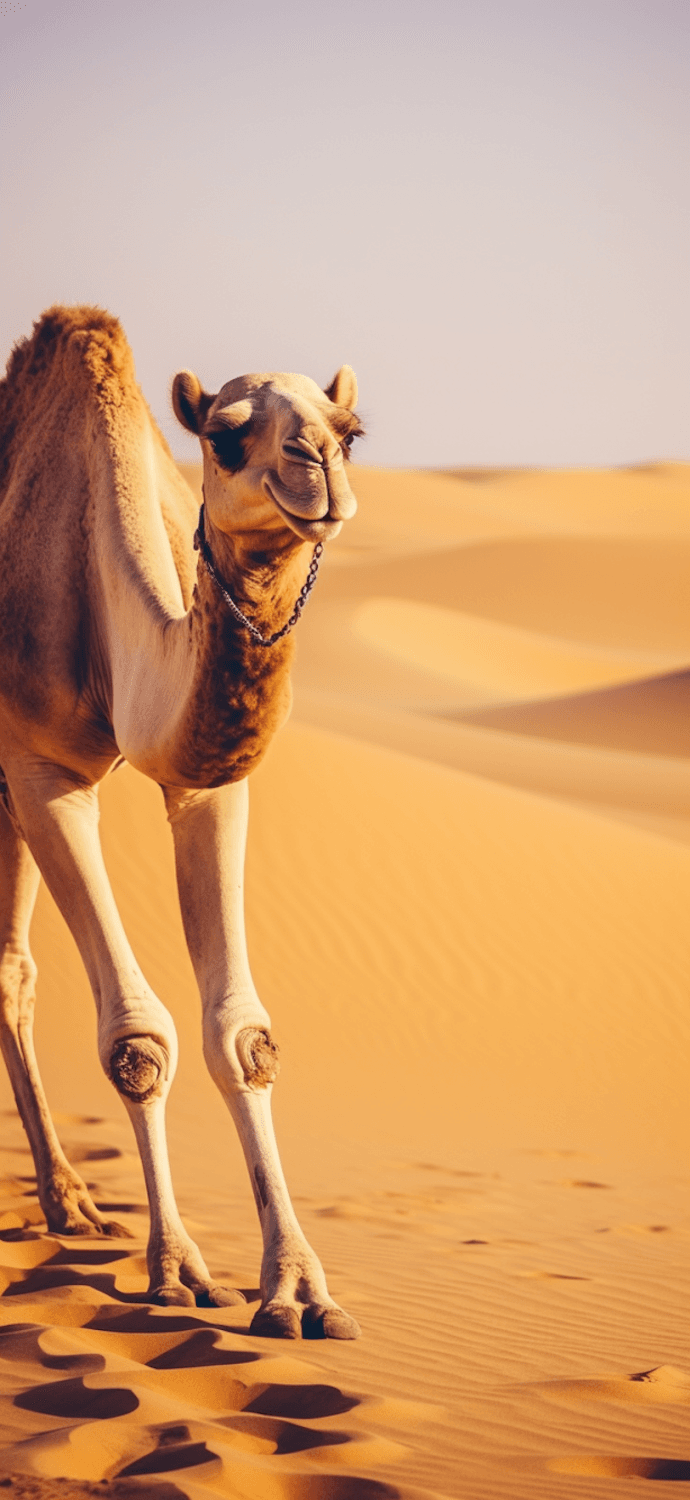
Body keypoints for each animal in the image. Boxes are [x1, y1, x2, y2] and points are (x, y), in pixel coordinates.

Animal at [0, 306, 363, 1339]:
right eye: (227, 435)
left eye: (350, 430)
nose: (317, 467)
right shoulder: (43, 772)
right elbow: (136, 1040)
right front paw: (178, 1271)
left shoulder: (205, 784)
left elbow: (242, 1036)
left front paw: (299, 1291)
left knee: (13, 968)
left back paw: (72, 1204)